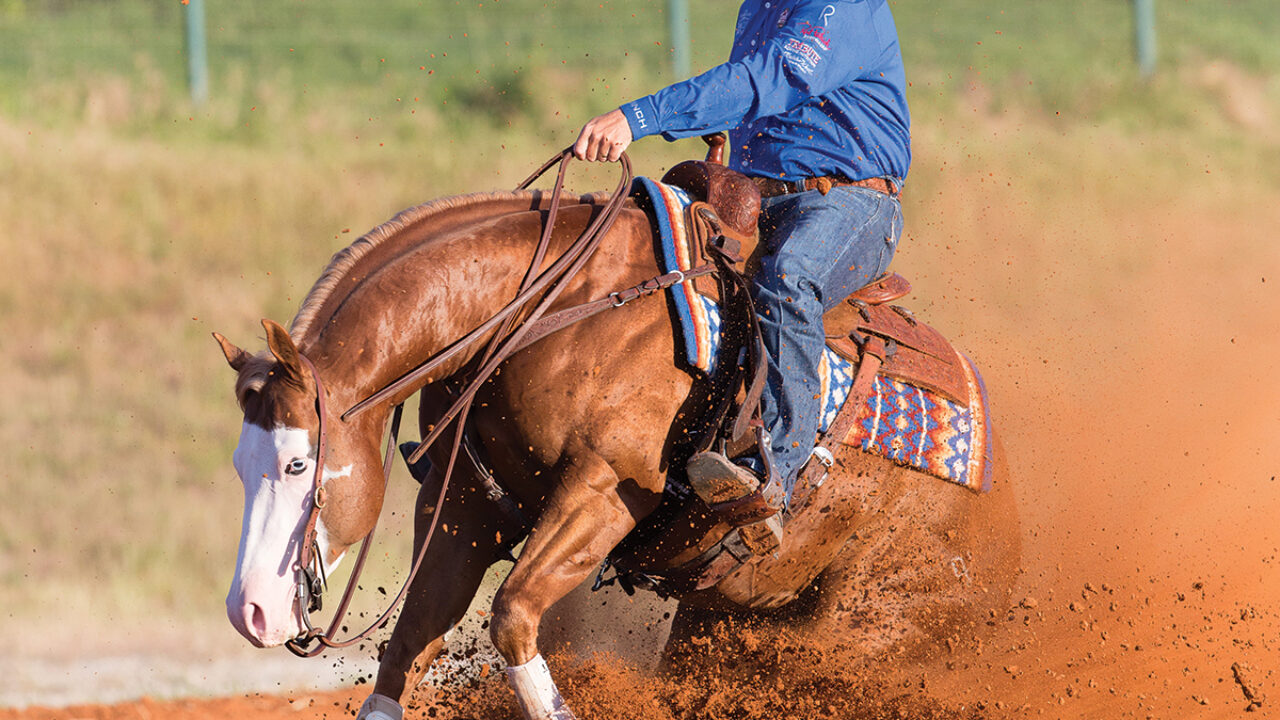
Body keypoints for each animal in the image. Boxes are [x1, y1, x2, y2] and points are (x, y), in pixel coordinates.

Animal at [217, 175, 1018, 717]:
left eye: (297, 461)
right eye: (240, 467)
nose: (248, 612)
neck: (546, 314)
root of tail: (997, 475)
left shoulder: (603, 492)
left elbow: (513, 617)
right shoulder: (466, 510)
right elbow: (410, 640)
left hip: (869, 621)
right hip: (722, 615)